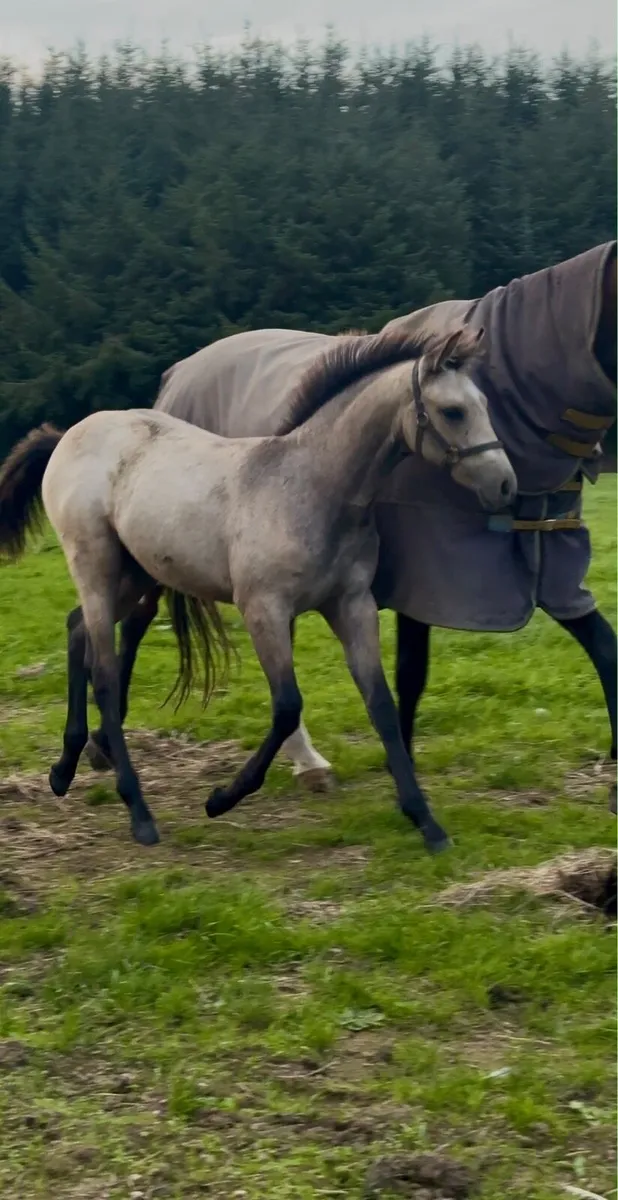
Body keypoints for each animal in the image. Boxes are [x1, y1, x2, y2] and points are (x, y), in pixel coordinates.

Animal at [0, 325, 516, 851]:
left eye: (483, 403)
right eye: (453, 411)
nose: (504, 484)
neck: (310, 487)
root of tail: (70, 434)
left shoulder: (351, 605)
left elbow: (381, 704)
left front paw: (426, 822)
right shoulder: (264, 608)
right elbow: (287, 706)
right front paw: (221, 798)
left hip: (136, 572)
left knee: (77, 630)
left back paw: (63, 771)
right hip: (96, 564)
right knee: (103, 671)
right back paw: (139, 812)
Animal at [94, 241, 615, 807]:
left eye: (486, 406)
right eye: (454, 412)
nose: (504, 485)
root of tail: (176, 375)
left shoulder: (550, 570)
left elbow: (602, 644)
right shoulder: (423, 580)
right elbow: (410, 672)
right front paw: (401, 766)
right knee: (135, 626)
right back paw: (110, 745)